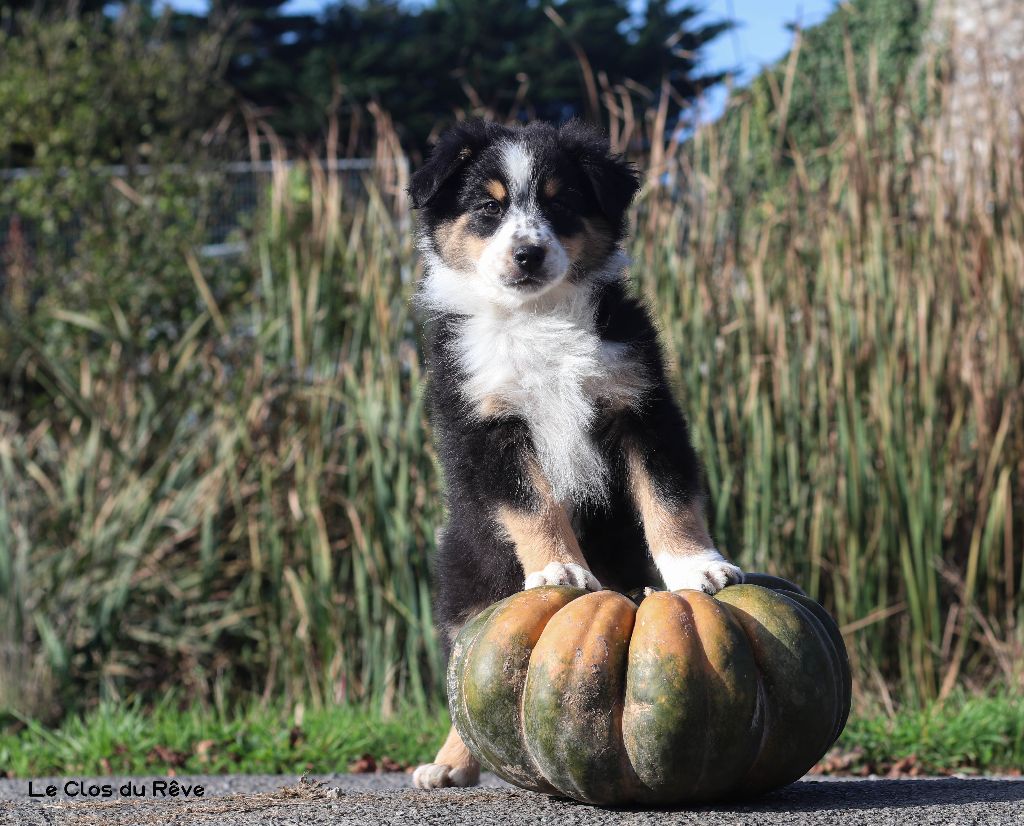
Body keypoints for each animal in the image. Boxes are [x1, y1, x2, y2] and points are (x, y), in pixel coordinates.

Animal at [409, 117, 745, 790]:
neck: (537, 318)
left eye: (560, 202)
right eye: (488, 207)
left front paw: (697, 567)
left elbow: (669, 496)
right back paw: (449, 765)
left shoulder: (641, 406)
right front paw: (559, 570)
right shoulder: (486, 427)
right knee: (463, 682)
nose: (528, 253)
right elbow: (533, 503)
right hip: (466, 586)